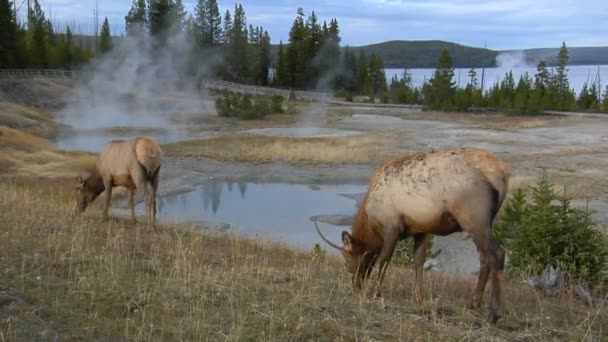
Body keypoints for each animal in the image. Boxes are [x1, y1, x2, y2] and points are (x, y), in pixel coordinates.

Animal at [316, 148, 510, 324]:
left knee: (497, 254)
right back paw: (473, 303)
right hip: (484, 222)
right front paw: (418, 298)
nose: (355, 287)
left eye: (347, 262)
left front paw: (375, 293)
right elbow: (418, 262)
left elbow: (384, 259)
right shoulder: (420, 230)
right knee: (484, 258)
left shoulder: (392, 226)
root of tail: (502, 173)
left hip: (473, 219)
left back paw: (493, 314)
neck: (371, 221)